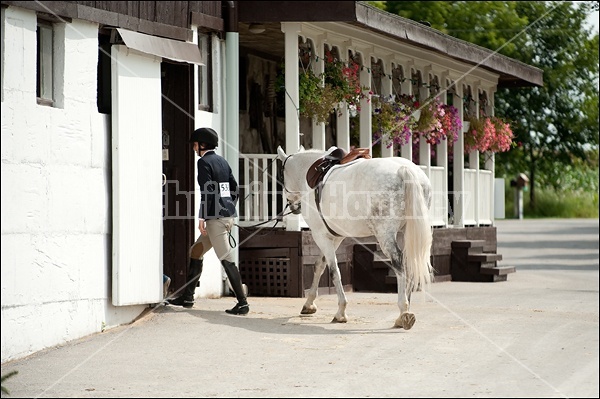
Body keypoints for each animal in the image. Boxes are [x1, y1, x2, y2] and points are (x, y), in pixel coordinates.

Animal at [276, 147, 432, 332]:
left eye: (281, 177)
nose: (293, 206)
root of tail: (404, 169)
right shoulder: (335, 236)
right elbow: (320, 265)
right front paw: (309, 304)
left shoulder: (320, 235)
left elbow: (333, 271)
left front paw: (341, 312)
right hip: (405, 233)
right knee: (408, 263)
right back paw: (405, 309)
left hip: (385, 234)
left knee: (398, 263)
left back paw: (403, 311)